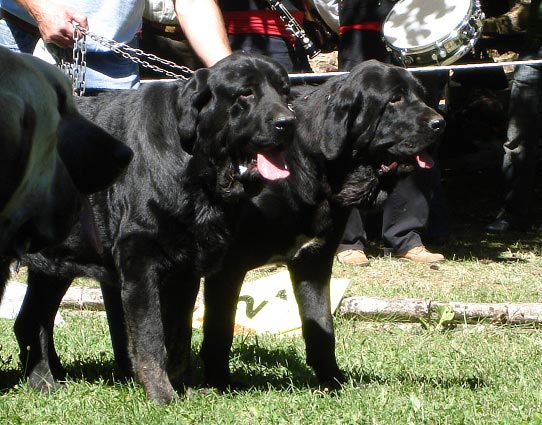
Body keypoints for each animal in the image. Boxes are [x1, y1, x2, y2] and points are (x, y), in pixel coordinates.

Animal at [17, 52, 296, 400]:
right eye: (245, 93)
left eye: (285, 92)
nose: (288, 122)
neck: (197, 168)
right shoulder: (141, 262)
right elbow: (151, 337)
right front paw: (162, 395)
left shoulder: (185, 270)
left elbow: (178, 337)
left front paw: (185, 387)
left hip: (55, 265)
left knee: (31, 321)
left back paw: (46, 379)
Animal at [200, 59, 446, 388]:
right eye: (394, 99)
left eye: (420, 95)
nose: (440, 123)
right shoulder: (228, 265)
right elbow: (219, 329)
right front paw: (219, 382)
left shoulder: (313, 259)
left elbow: (321, 325)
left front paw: (332, 380)